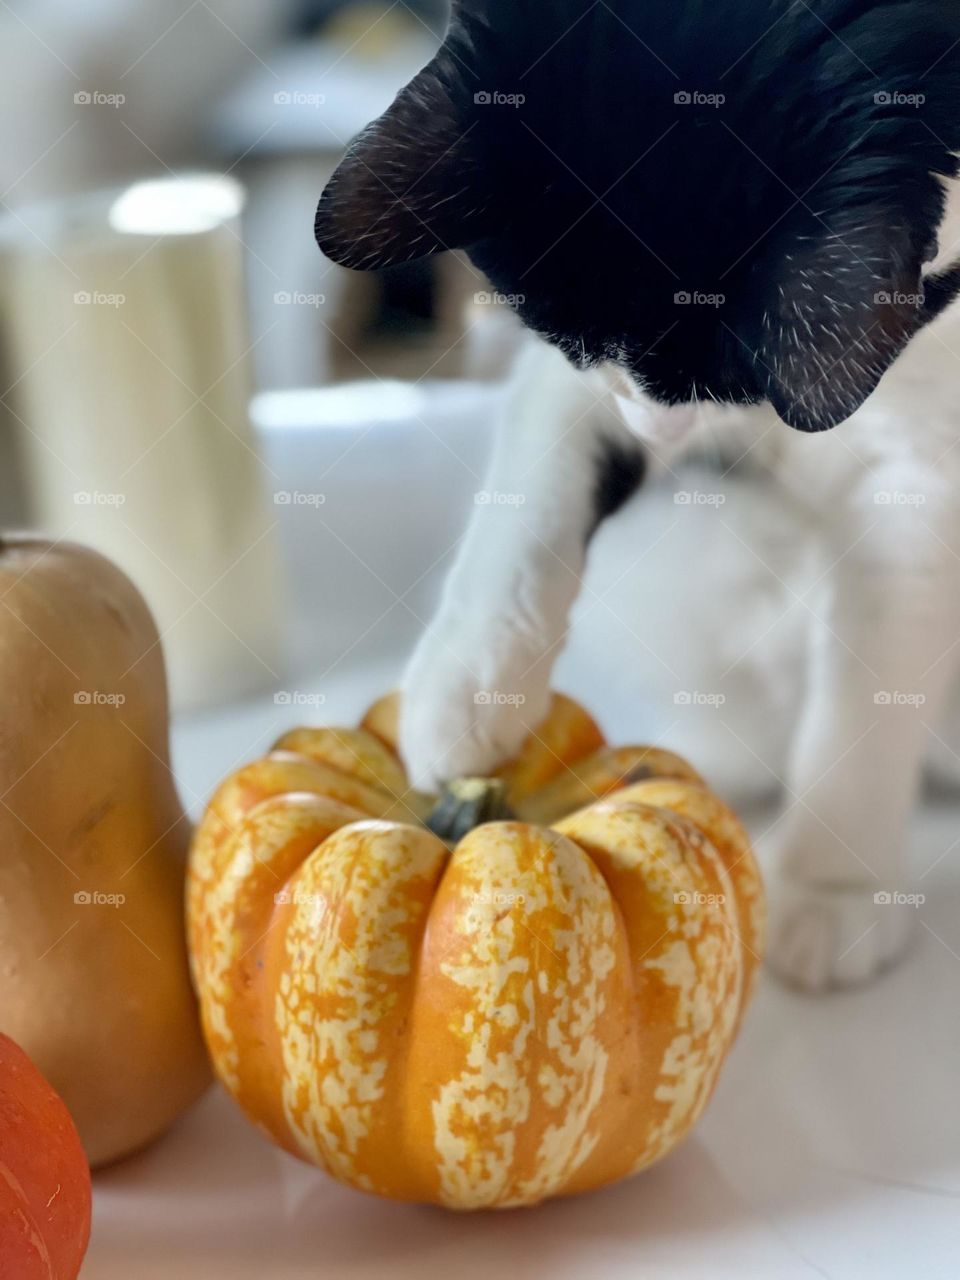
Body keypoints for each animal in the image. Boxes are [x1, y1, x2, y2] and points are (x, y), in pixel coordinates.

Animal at [320, 0, 960, 993]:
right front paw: (463, 688)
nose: (661, 438)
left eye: (722, 373)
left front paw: (835, 885)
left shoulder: (921, 478)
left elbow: (871, 683)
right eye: (573, 340)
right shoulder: (570, 387)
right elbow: (533, 493)